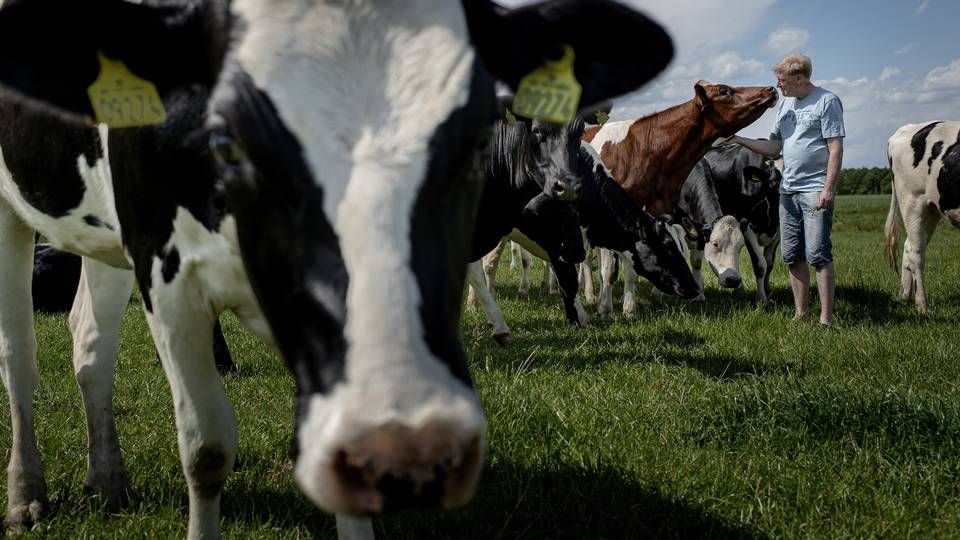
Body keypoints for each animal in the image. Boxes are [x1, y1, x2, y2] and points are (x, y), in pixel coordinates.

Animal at [0, 0, 676, 536]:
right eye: (233, 132)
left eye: (475, 133)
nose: (570, 186)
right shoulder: (168, 275)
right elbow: (206, 448)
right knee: (20, 357)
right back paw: (27, 495)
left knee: (89, 343)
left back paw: (108, 480)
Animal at [672, 143, 784, 302]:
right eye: (774, 183)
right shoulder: (747, 225)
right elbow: (760, 264)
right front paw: (761, 298)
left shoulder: (778, 229)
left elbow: (769, 263)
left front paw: (767, 291)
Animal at [884, 119, 960, 312]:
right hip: (913, 201)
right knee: (916, 253)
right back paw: (922, 305)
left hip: (931, 209)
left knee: (908, 246)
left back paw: (905, 296)